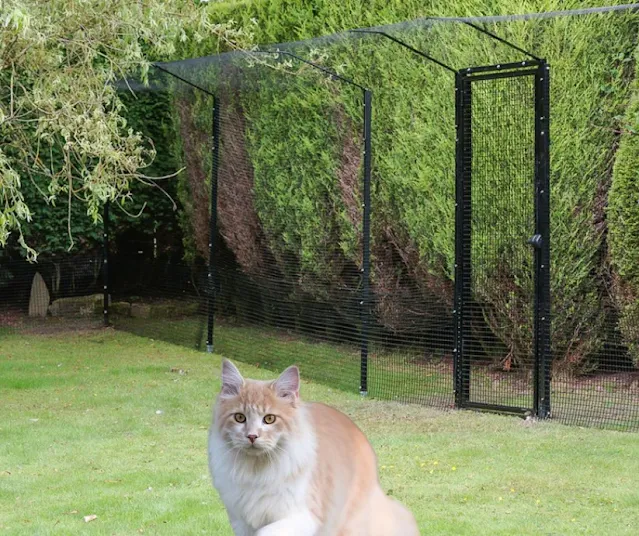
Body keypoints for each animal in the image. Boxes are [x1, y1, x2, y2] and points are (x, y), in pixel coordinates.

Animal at [208, 358, 422, 536]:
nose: (252, 436)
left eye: (269, 419)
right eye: (239, 417)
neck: (257, 470)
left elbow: (266, 531)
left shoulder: (303, 517)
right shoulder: (240, 520)